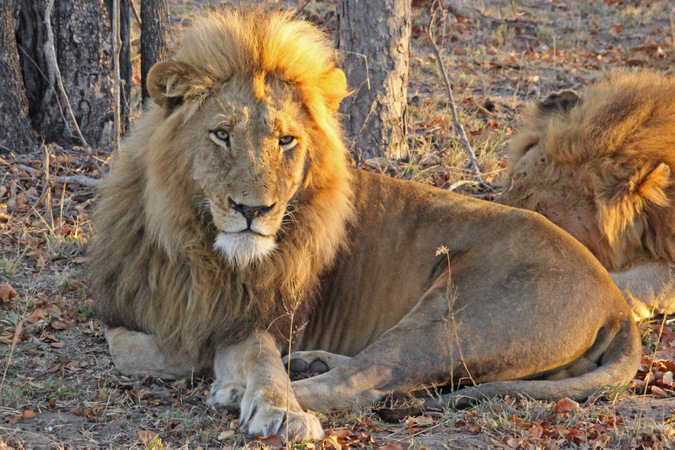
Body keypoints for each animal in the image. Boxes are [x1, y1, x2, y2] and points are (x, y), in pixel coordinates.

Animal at [91, 7, 644, 442]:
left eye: (286, 141)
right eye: (221, 135)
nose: (253, 210)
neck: (196, 242)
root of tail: (617, 302)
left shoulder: (258, 315)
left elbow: (203, 352)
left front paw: (266, 401)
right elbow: (131, 348)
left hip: (457, 315)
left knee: (368, 381)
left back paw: (266, 393)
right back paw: (305, 362)